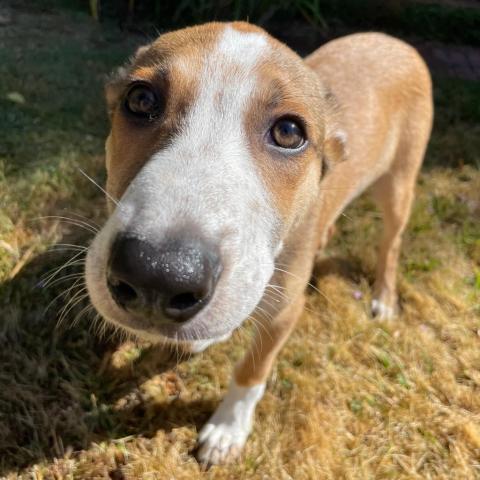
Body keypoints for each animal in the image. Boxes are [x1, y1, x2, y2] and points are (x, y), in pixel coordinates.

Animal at [84, 22, 434, 464]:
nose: (156, 275)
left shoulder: (284, 310)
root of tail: (394, 40)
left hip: (399, 183)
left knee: (391, 244)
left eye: (288, 132)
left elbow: (253, 369)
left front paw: (227, 429)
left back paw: (384, 298)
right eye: (141, 99)